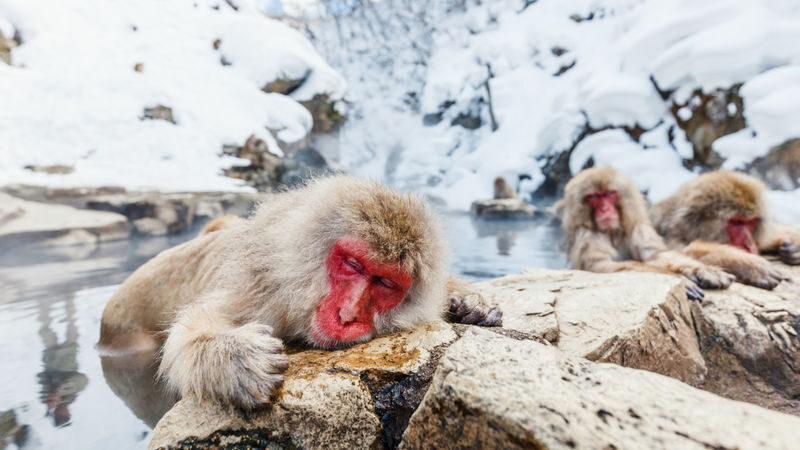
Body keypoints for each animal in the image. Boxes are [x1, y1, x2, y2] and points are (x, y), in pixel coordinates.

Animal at [98, 176, 501, 409]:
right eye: (353, 264)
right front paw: (234, 358)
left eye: (385, 283)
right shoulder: (262, 291)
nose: (348, 314)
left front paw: (471, 301)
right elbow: (192, 330)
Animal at [556, 167, 734, 300]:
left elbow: (655, 255)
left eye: (609, 194)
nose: (605, 209)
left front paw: (703, 270)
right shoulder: (586, 235)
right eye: (593, 197)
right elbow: (601, 266)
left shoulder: (637, 227)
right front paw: (678, 279)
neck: (612, 231)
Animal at [650, 170, 798, 290]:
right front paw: (745, 263)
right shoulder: (671, 238)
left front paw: (795, 244)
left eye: (750, 222)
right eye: (737, 222)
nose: (749, 244)